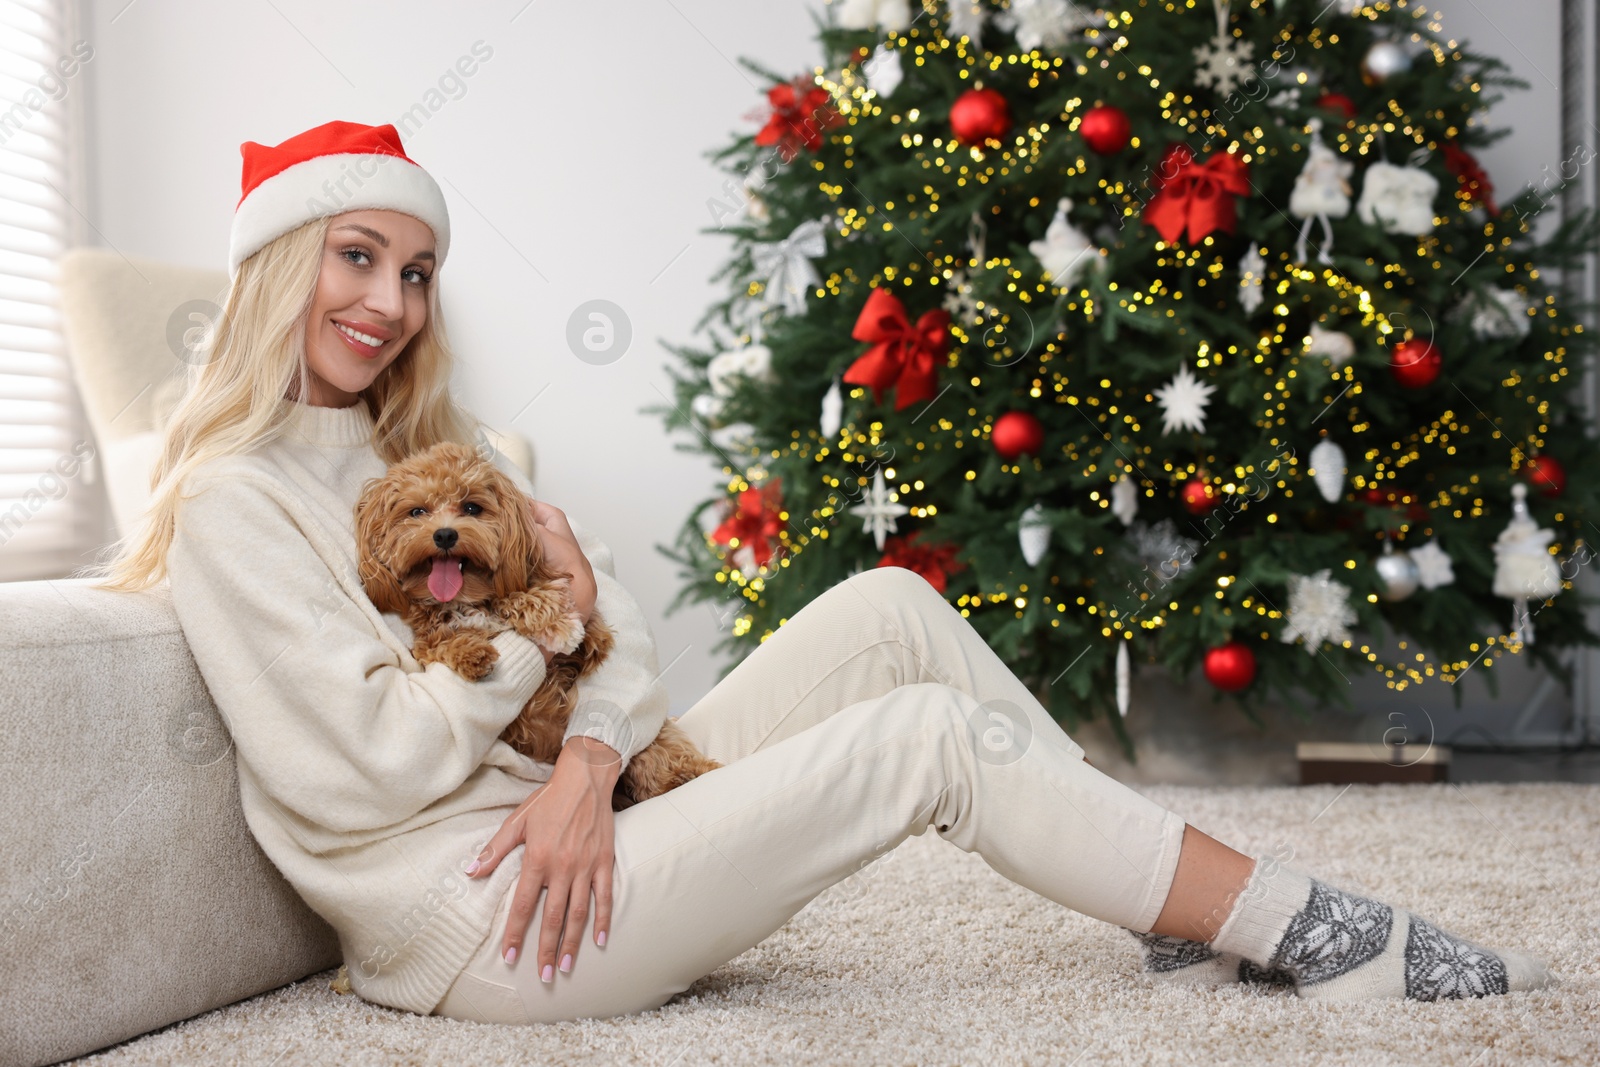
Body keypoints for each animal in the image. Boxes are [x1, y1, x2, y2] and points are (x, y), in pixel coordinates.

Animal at [360, 441, 723, 809]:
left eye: (472, 507)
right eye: (417, 511)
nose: (445, 534)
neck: (468, 598)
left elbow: (549, 611)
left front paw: (559, 623)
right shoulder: (426, 641)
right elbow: (442, 642)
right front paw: (472, 652)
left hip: (657, 741)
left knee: (662, 756)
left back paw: (688, 774)